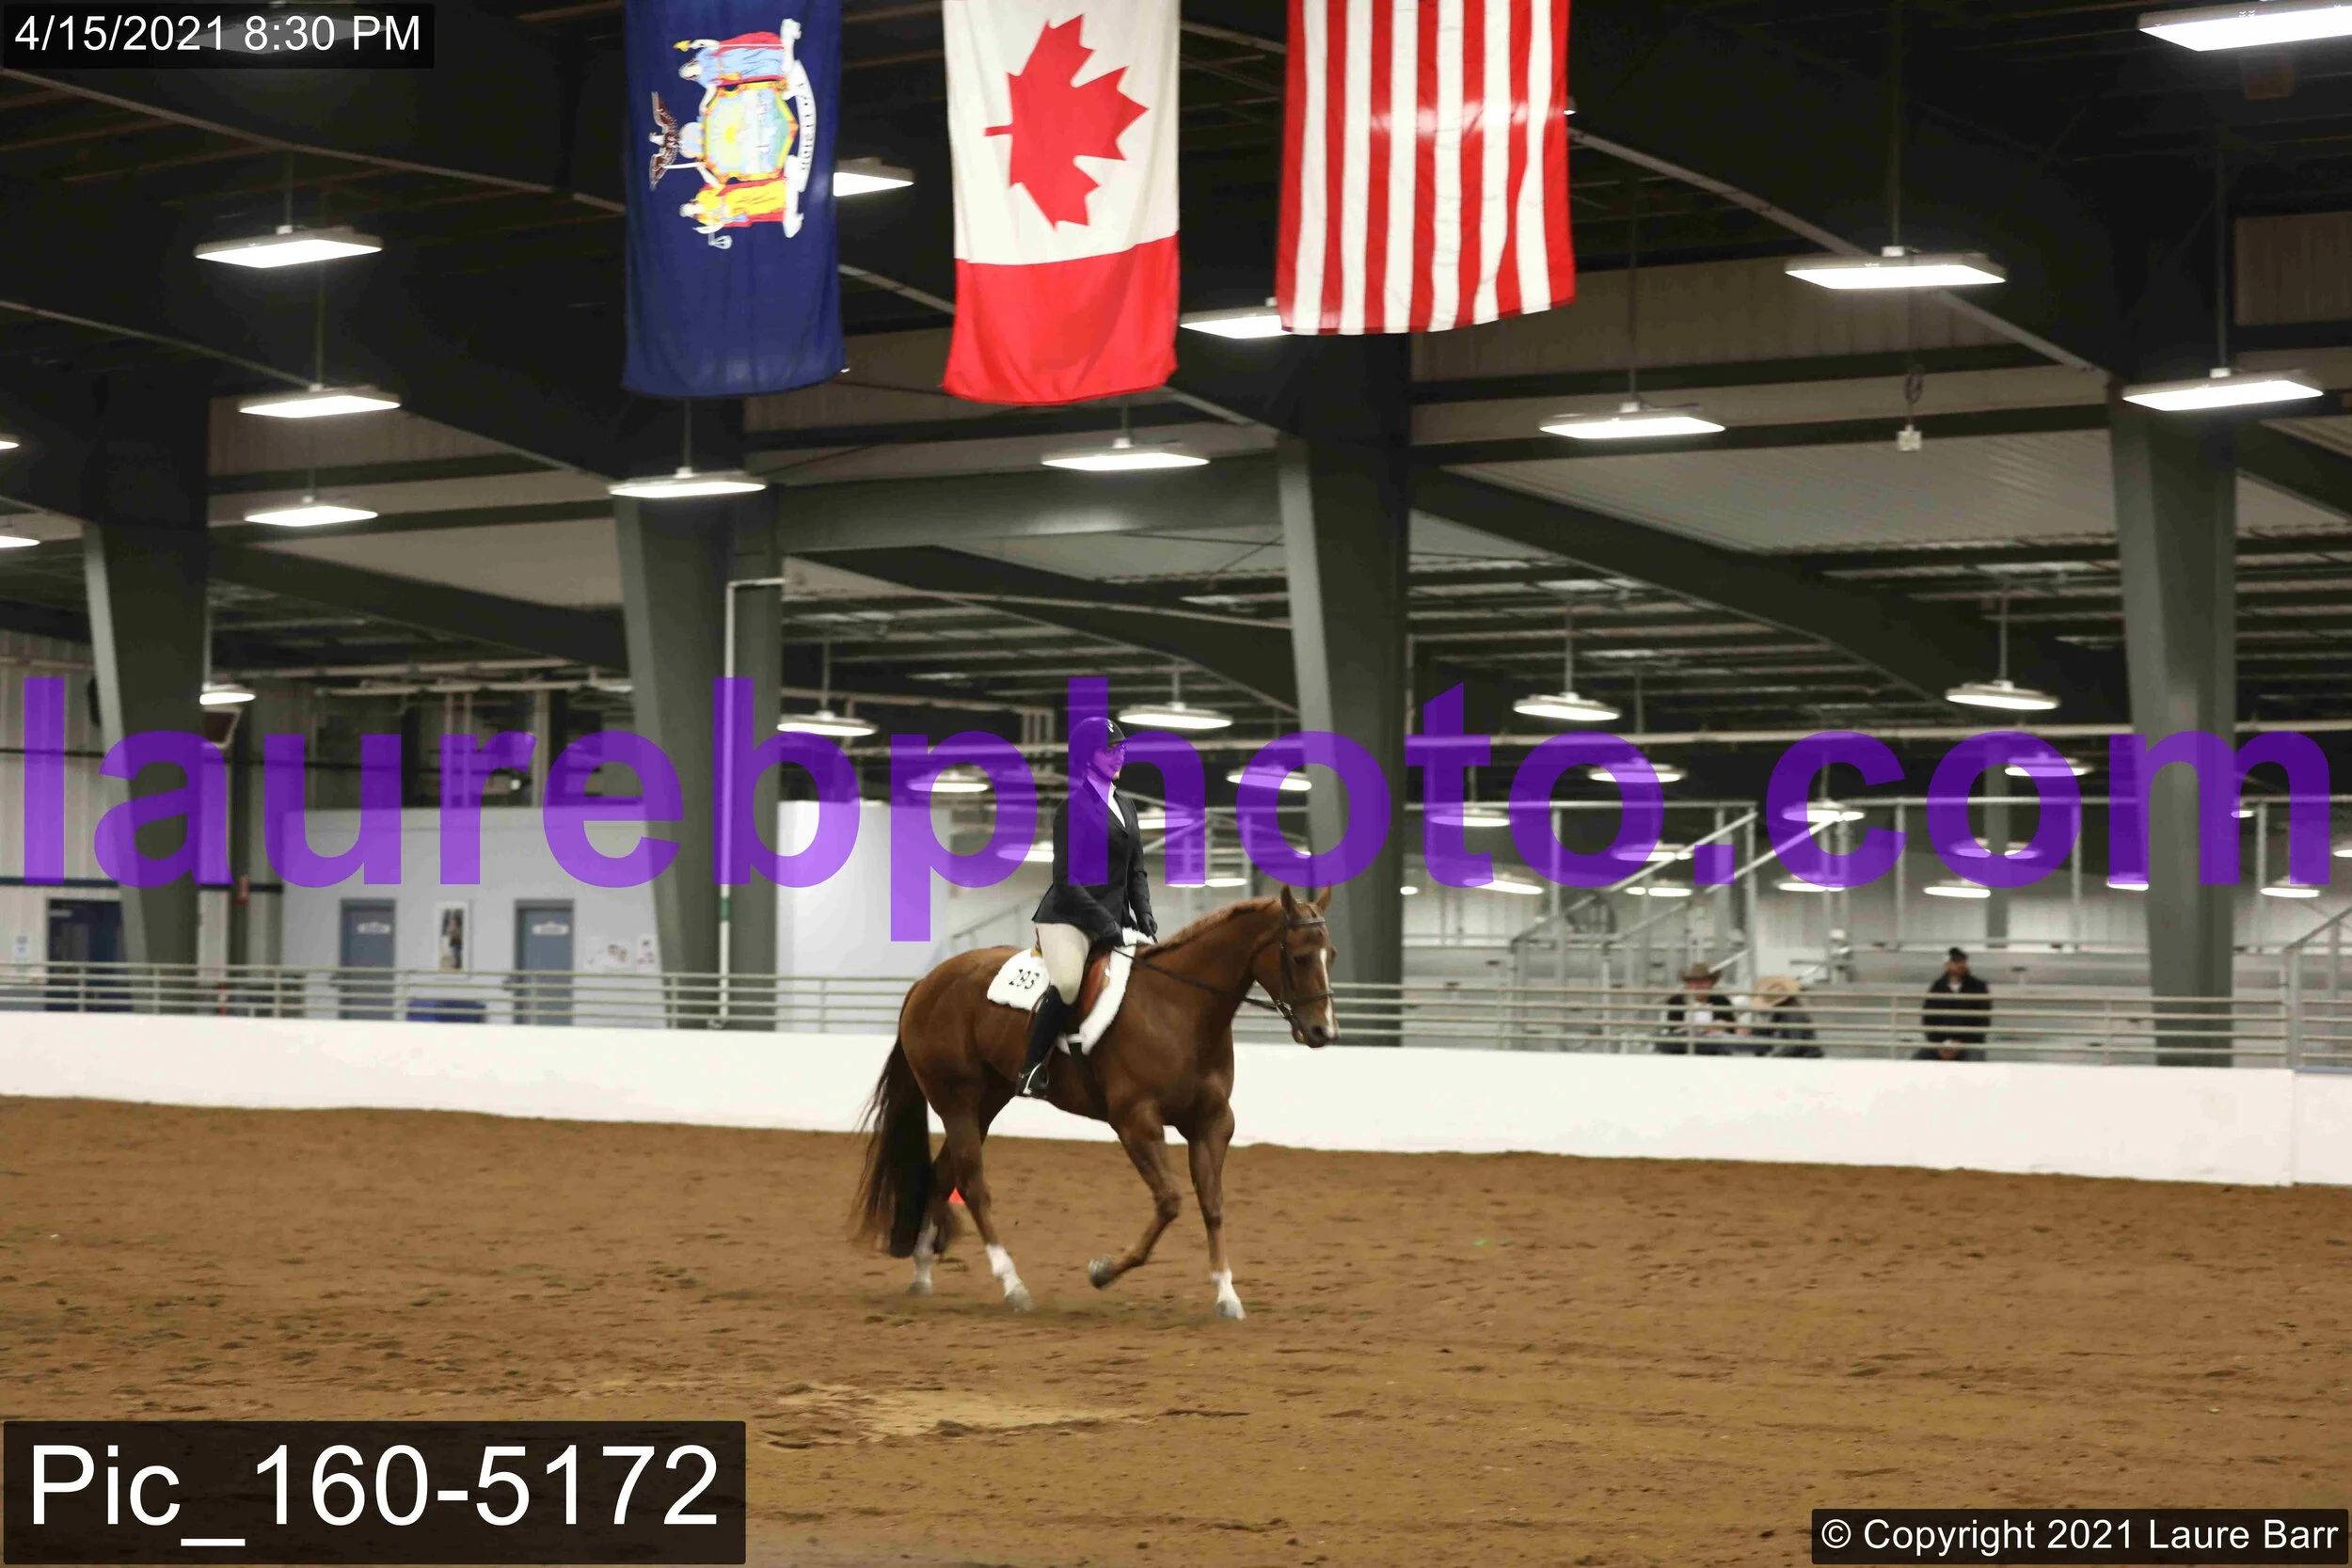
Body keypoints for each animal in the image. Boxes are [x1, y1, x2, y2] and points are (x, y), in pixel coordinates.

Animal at [853, 888, 1337, 1320]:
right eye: (1299, 957)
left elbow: (1212, 1204)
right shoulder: (1136, 1122)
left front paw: (1226, 1295)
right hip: (956, 1100)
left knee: (941, 1176)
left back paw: (922, 1274)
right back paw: (1013, 1286)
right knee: (972, 1184)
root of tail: (927, 982)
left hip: (986, 1103)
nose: (1324, 1033)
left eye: (1330, 955)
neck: (1179, 1009)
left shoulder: (1212, 1123)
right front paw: (1102, 1272)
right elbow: (1170, 1201)